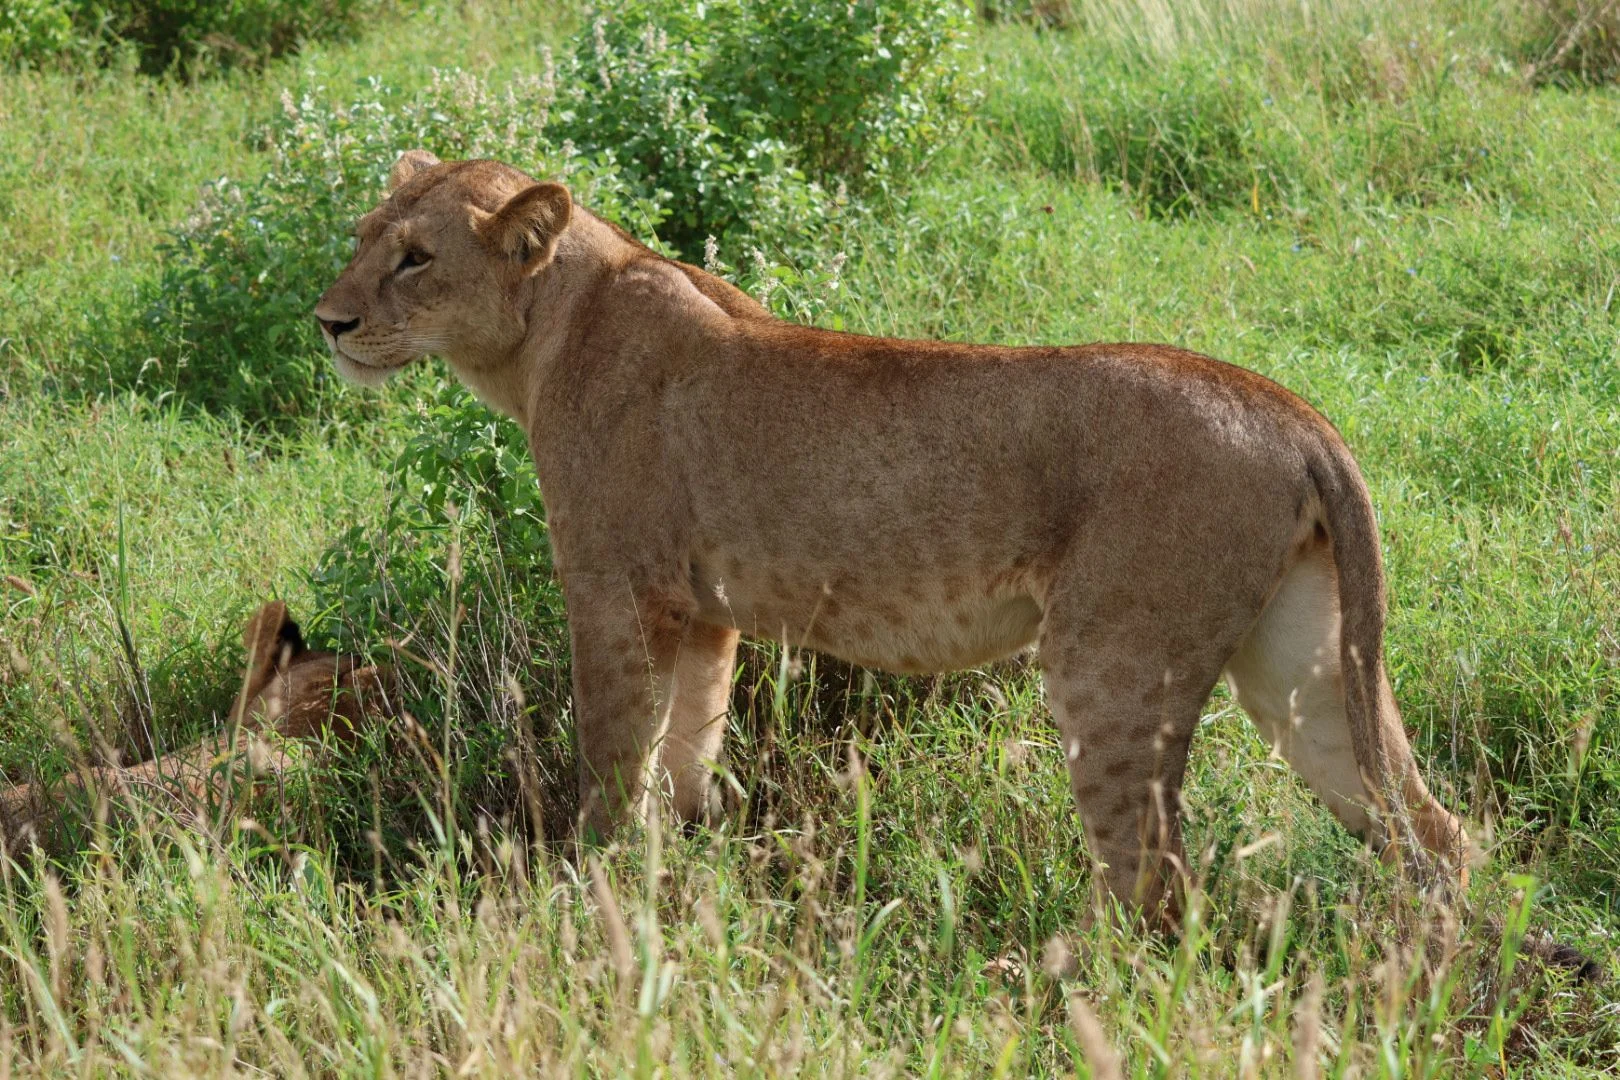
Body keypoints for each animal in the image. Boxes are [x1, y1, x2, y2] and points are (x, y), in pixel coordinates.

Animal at [314, 149, 1472, 923]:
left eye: (414, 259)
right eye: (361, 237)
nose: (327, 321)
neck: (550, 329)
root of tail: (1293, 412)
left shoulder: (617, 593)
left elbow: (610, 765)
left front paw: (585, 898)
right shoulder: (703, 615)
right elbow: (687, 757)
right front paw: (679, 882)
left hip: (1111, 663)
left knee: (1155, 875)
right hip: (1302, 668)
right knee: (1430, 827)